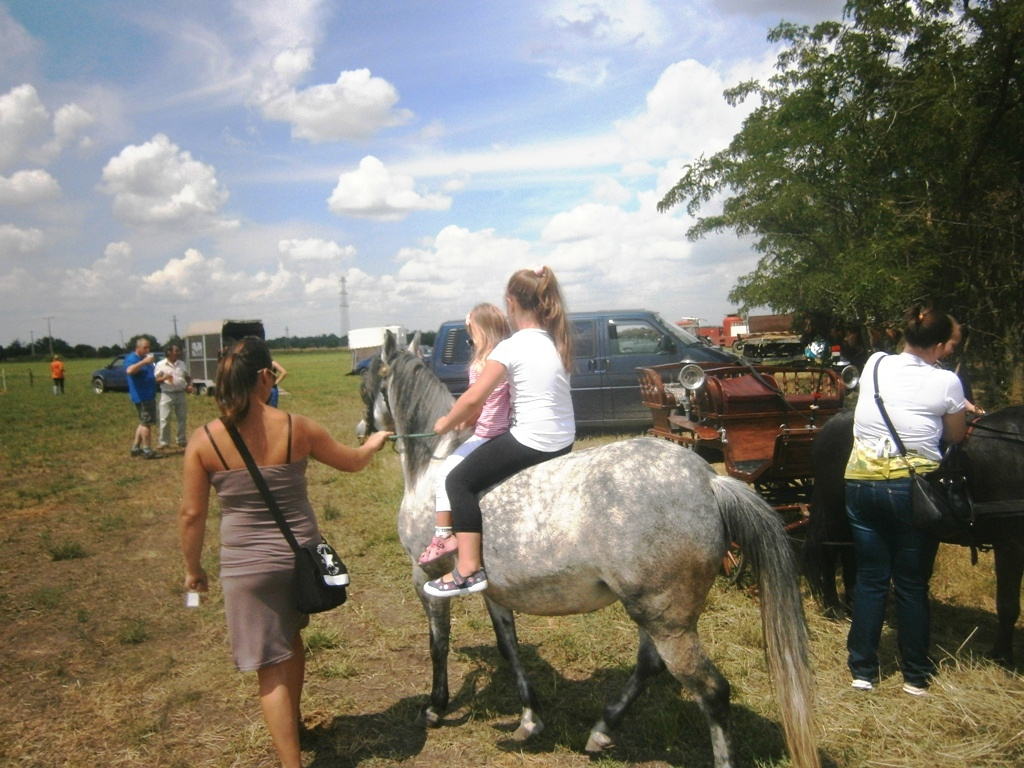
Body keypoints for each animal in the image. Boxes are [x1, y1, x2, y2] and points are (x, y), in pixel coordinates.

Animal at [356, 335, 819, 768]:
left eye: (366, 386)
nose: (362, 432)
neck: (435, 463)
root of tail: (709, 480)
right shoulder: (493, 589)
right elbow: (509, 647)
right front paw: (530, 718)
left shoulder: (425, 576)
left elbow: (439, 644)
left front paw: (434, 708)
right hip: (655, 613)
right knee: (650, 665)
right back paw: (601, 729)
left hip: (667, 621)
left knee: (713, 692)